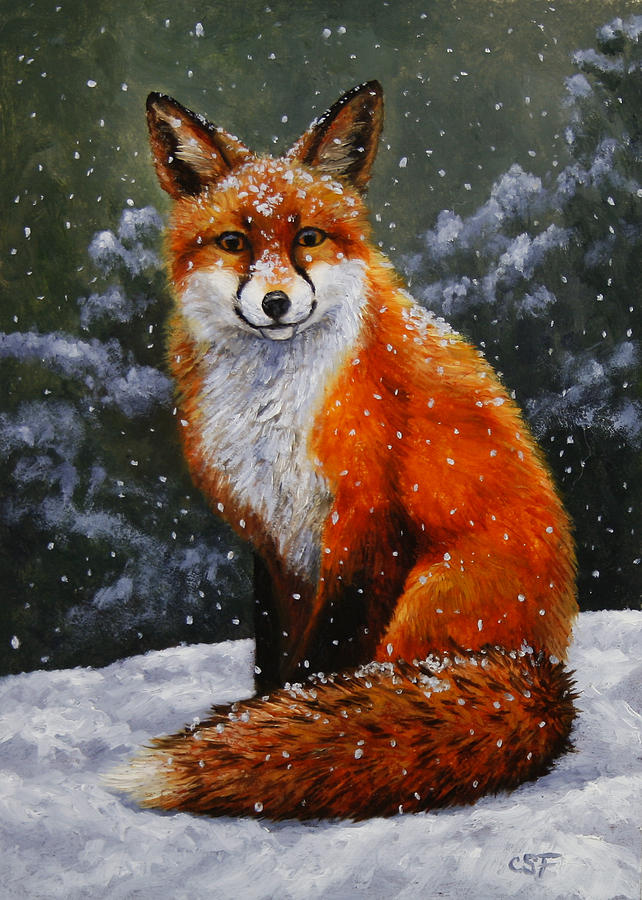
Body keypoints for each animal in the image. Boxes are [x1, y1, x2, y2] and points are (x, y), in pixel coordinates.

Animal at [112, 81, 578, 820]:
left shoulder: (367, 522)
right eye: (234, 242)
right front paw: (261, 719)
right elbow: (275, 656)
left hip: (431, 595)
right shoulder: (274, 537)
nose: (276, 302)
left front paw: (277, 734)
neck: (273, 408)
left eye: (308, 237)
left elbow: (324, 660)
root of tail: (547, 671)